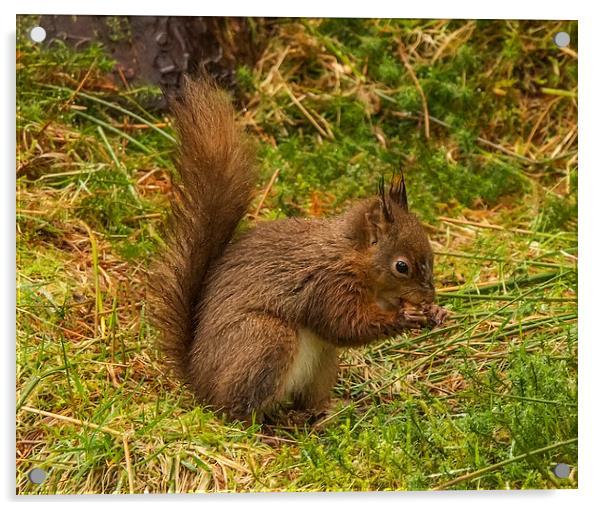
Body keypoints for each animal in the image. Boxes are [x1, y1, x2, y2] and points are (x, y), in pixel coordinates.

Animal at [150, 78, 446, 422]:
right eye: (402, 266)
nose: (429, 295)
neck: (352, 257)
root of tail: (198, 380)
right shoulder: (328, 286)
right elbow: (345, 325)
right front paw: (405, 316)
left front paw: (436, 312)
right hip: (266, 340)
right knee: (235, 409)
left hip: (323, 362)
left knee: (307, 398)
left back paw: (328, 412)